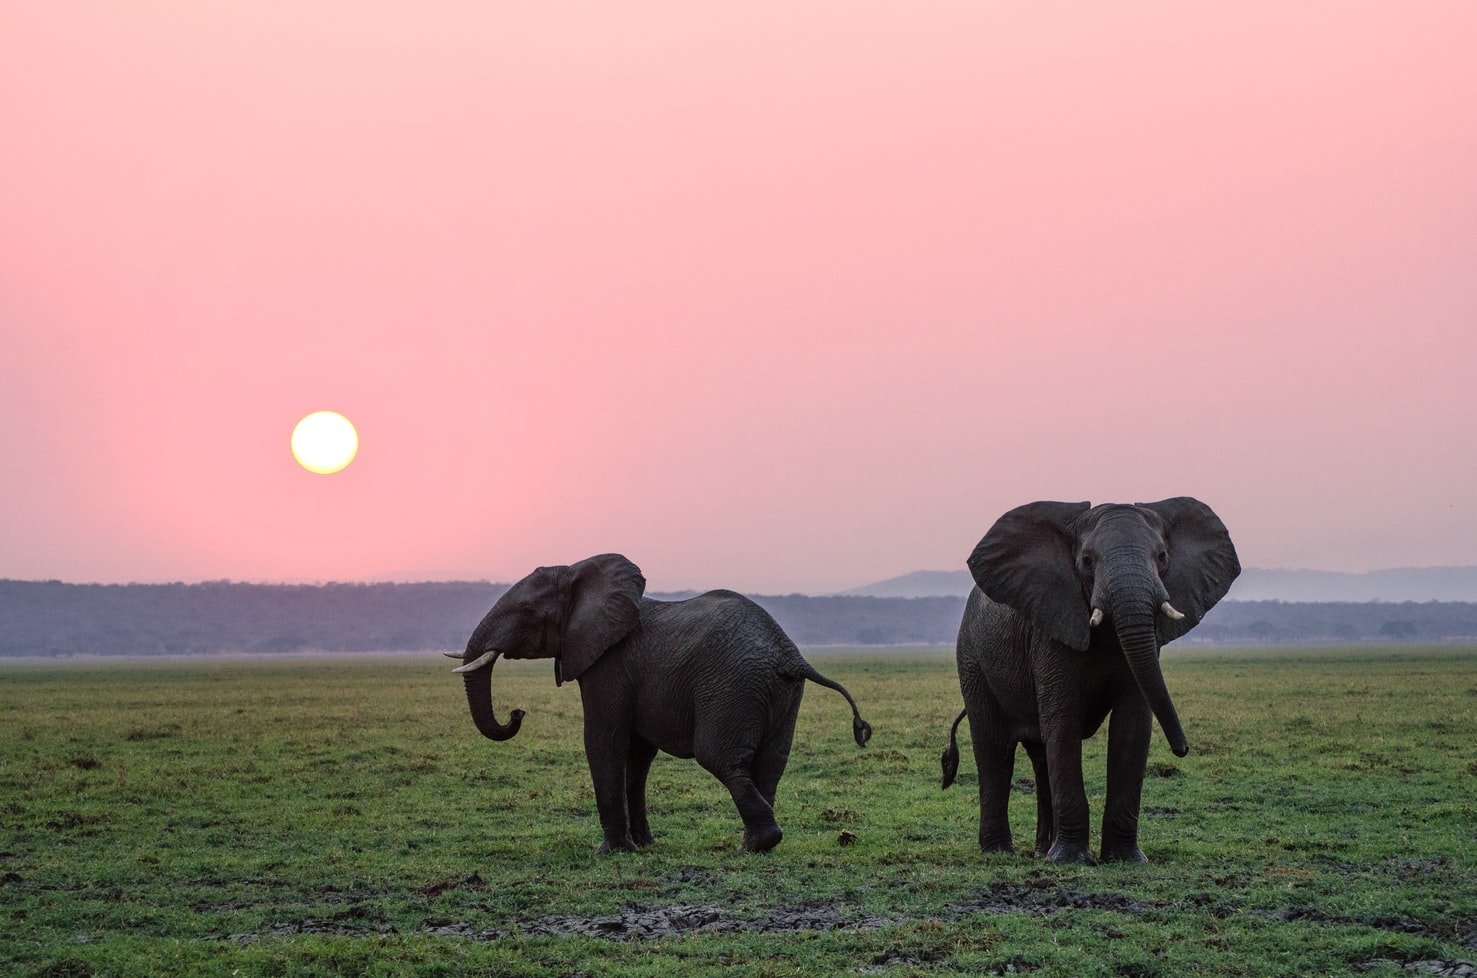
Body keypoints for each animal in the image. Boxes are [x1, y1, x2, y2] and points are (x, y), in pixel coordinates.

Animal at [443, 555, 868, 856]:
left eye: (527, 613)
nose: (516, 713)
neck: (579, 572)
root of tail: (789, 655)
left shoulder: (608, 664)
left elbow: (603, 740)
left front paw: (612, 851)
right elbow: (637, 754)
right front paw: (644, 846)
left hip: (732, 688)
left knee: (720, 758)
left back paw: (758, 844)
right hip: (780, 694)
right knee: (770, 764)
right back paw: (753, 845)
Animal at [939, 499, 1240, 868]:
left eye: (1162, 557)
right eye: (1086, 561)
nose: (1182, 749)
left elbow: (1132, 728)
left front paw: (1126, 860)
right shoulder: (1052, 630)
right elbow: (1064, 723)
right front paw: (1071, 861)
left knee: (1040, 755)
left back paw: (1041, 851)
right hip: (973, 660)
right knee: (995, 748)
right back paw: (1000, 852)